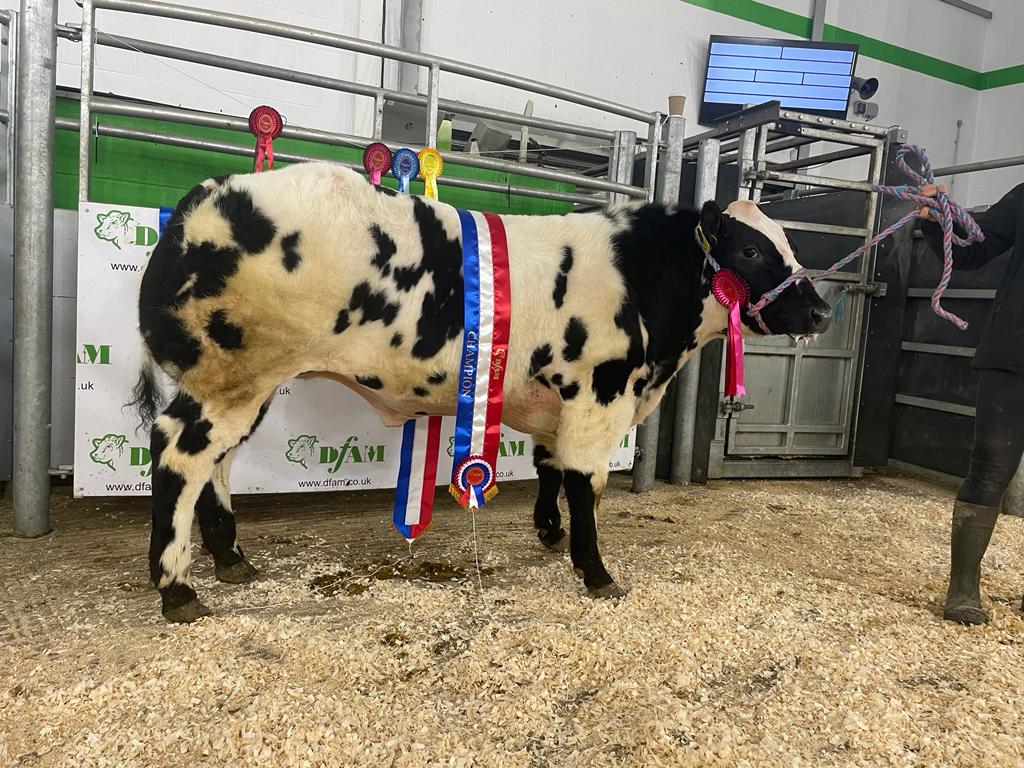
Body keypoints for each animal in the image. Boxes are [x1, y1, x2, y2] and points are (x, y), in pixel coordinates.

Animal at [129, 161, 832, 623]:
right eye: (750, 250)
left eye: (789, 242)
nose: (821, 311)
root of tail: (210, 193)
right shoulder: (598, 392)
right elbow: (585, 482)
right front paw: (596, 572)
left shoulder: (555, 401)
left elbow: (551, 469)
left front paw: (549, 532)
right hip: (232, 380)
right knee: (179, 456)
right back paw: (177, 588)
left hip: (244, 386)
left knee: (215, 465)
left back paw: (230, 558)